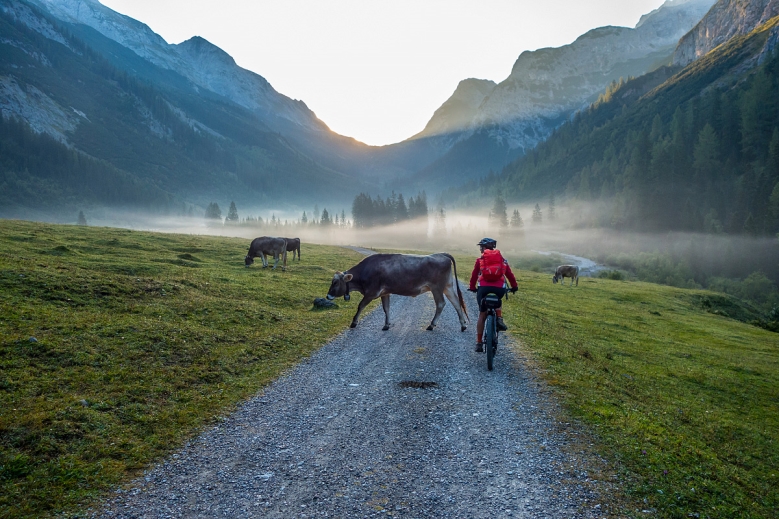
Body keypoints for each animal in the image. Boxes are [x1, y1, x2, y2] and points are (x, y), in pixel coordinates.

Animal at [324, 253, 470, 334]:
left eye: (335, 282)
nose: (328, 296)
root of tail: (441, 254)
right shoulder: (385, 293)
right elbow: (386, 308)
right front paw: (386, 324)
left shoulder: (371, 293)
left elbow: (360, 306)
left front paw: (354, 322)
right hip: (448, 287)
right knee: (456, 302)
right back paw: (463, 325)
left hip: (437, 288)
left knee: (441, 304)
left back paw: (431, 325)